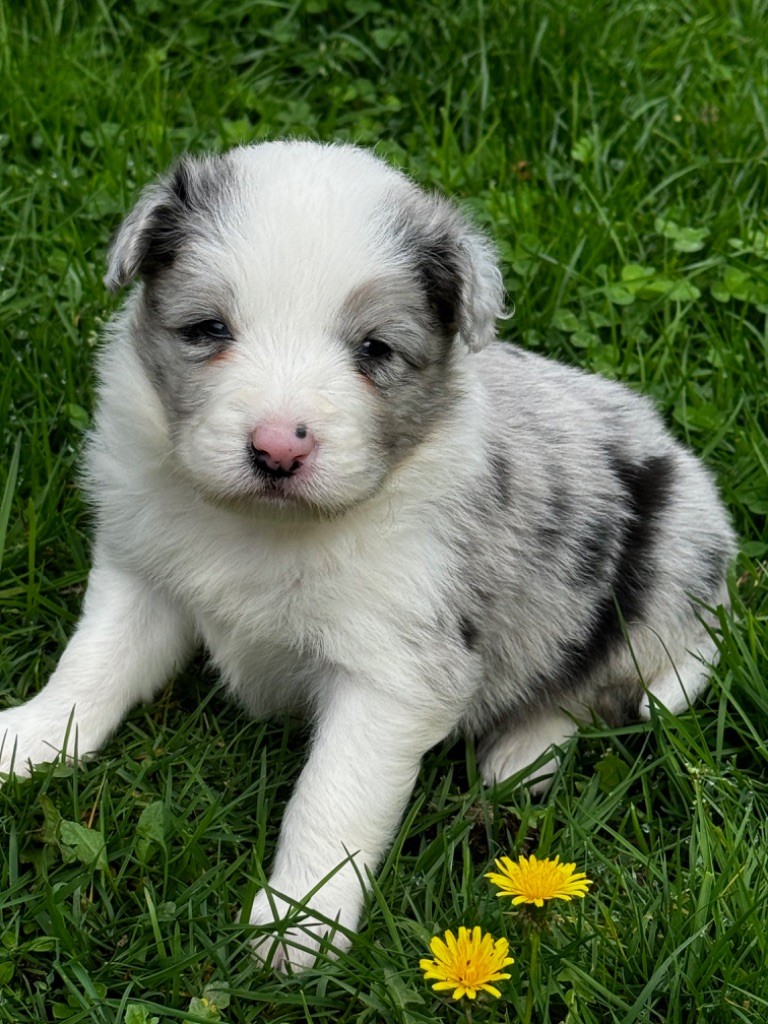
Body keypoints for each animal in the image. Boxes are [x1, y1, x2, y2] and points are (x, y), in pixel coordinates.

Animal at [0, 142, 733, 966]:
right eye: (208, 329)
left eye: (374, 349)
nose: (278, 448)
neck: (265, 528)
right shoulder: (141, 571)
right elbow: (93, 666)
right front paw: (29, 739)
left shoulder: (393, 673)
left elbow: (331, 797)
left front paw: (298, 926)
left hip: (668, 558)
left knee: (617, 677)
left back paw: (524, 753)